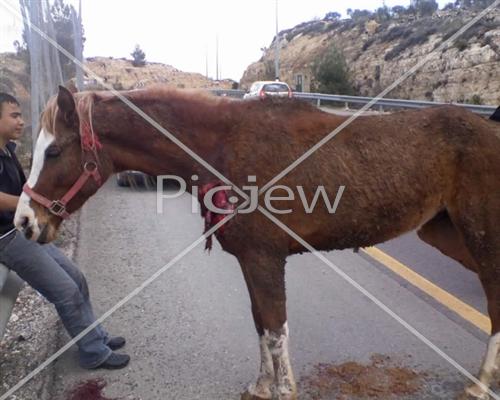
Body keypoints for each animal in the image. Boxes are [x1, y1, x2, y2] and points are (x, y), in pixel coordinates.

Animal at [14, 86, 500, 398]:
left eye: (53, 151)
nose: (23, 222)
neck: (221, 149)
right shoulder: (251, 260)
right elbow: (261, 326)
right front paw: (263, 386)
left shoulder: (266, 259)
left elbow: (275, 327)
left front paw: (283, 389)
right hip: (445, 232)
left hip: (481, 236)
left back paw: (479, 384)